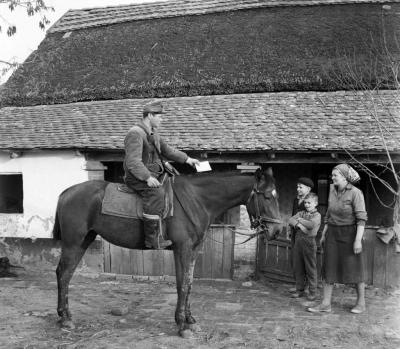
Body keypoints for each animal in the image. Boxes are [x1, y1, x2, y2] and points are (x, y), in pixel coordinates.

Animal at [54, 167, 282, 336]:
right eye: (267, 197)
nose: (277, 230)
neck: (197, 199)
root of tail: (67, 192)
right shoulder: (182, 249)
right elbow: (182, 285)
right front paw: (181, 325)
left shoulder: (193, 250)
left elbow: (189, 283)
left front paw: (190, 320)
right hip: (74, 243)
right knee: (63, 274)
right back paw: (65, 319)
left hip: (84, 241)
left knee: (66, 274)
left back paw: (65, 315)